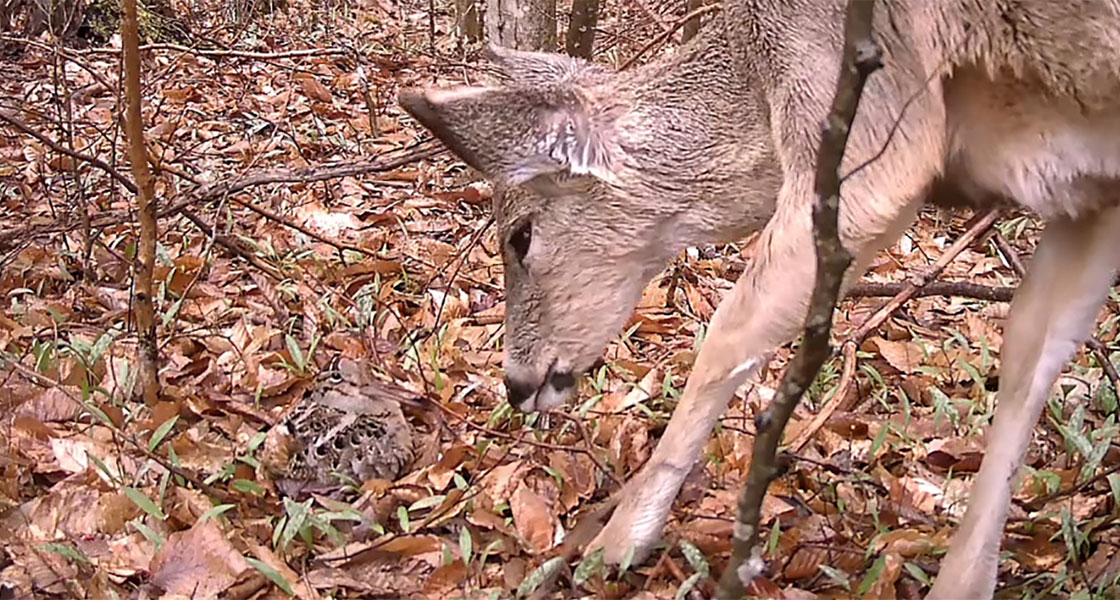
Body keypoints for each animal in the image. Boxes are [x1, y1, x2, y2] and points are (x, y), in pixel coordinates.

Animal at [399, 1, 1120, 597]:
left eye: (520, 236)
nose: (517, 383)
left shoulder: (873, 137)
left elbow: (727, 331)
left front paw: (616, 541)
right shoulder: (1091, 192)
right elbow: (1031, 350)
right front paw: (964, 582)